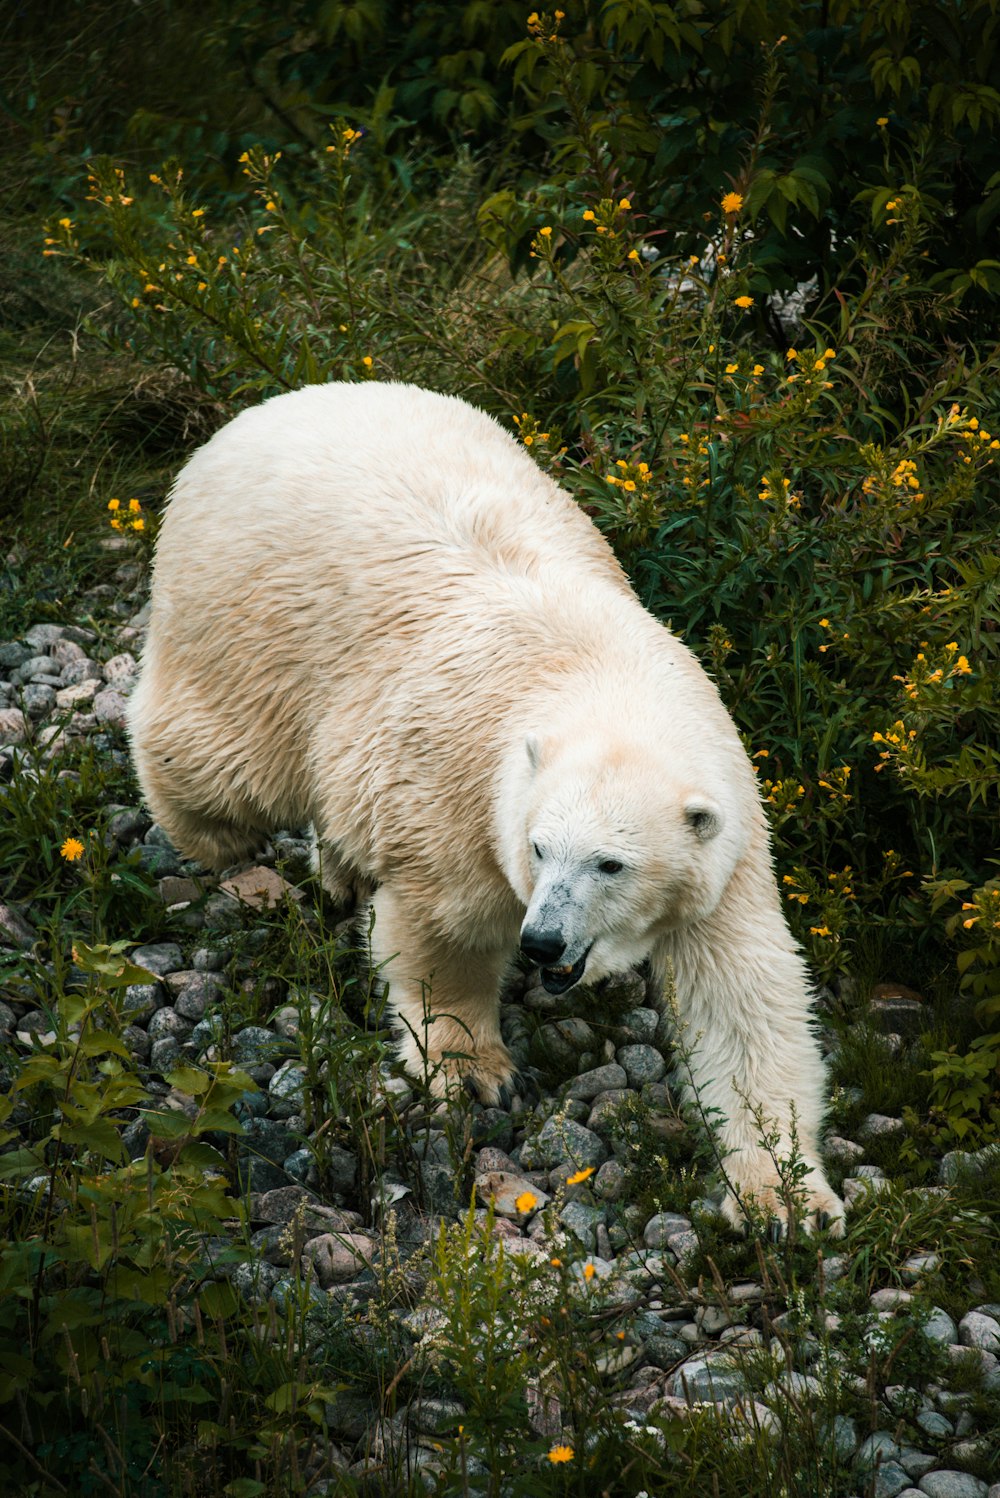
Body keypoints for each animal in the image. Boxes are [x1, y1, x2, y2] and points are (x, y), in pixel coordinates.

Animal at [127, 380, 844, 1234]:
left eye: (611, 864)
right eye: (539, 848)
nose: (542, 942)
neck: (603, 680)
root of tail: (270, 406)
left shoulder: (728, 838)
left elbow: (743, 997)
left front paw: (788, 1197)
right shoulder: (460, 792)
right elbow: (447, 930)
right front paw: (475, 1069)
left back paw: (338, 870)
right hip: (249, 624)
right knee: (220, 760)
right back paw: (227, 849)